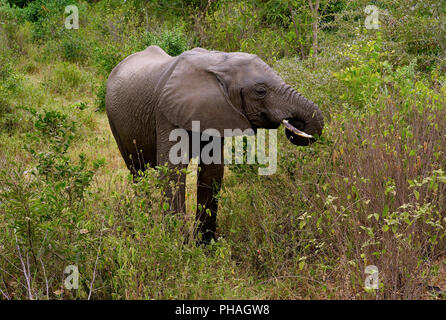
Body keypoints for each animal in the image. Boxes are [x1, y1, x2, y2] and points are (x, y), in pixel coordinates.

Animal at [107, 45, 324, 242]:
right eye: (261, 91)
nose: (295, 124)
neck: (219, 61)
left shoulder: (214, 113)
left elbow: (212, 172)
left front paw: (204, 245)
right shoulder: (165, 114)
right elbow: (172, 172)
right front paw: (177, 244)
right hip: (115, 123)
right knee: (137, 172)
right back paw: (143, 221)